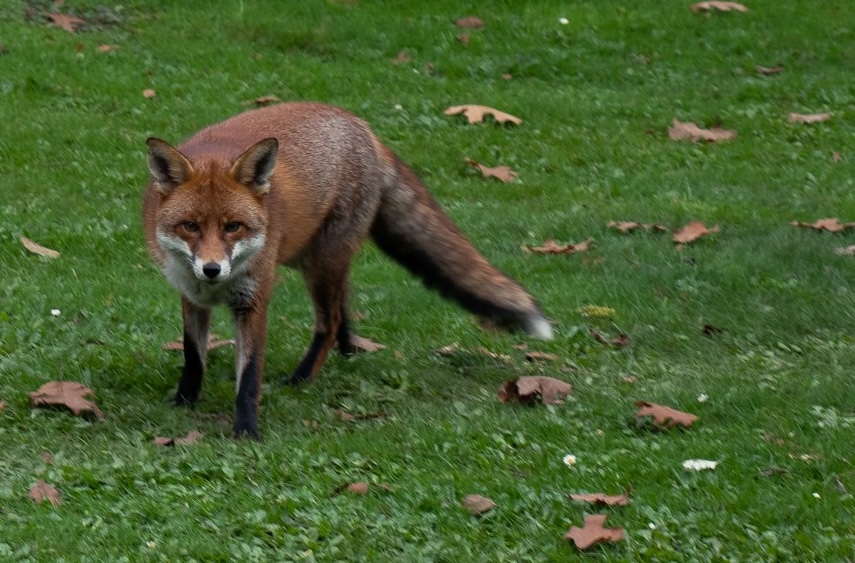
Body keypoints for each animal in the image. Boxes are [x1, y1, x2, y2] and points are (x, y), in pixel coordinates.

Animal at [143, 102, 553, 438]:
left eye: (233, 227)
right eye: (190, 227)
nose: (212, 269)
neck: (216, 289)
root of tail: (362, 126)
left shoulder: (253, 299)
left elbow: (250, 375)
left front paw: (246, 431)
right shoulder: (191, 295)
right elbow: (193, 355)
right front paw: (184, 401)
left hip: (320, 262)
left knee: (330, 320)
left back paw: (303, 376)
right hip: (307, 258)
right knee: (343, 304)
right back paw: (347, 351)